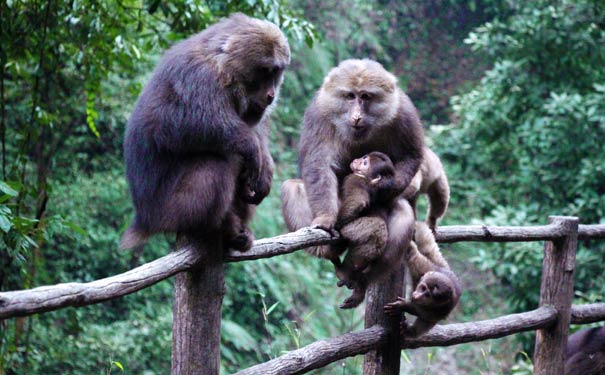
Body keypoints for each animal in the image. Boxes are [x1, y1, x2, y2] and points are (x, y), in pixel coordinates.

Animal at [120, 13, 290, 251]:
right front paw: (249, 143)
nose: (271, 95)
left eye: (277, 72)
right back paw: (218, 227)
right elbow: (181, 123)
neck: (223, 69)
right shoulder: (199, 76)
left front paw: (266, 168)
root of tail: (143, 220)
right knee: (216, 163)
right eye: (265, 71)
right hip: (169, 211)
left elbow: (257, 133)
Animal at [280, 58, 422, 304]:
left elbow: (411, 155)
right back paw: (328, 250)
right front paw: (325, 220)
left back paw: (359, 280)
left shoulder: (403, 112)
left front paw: (385, 187)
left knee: (402, 213)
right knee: (293, 187)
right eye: (349, 96)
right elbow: (319, 164)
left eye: (365, 96)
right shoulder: (319, 114)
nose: (357, 116)